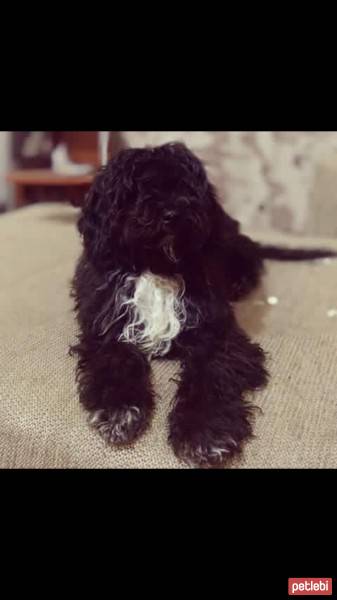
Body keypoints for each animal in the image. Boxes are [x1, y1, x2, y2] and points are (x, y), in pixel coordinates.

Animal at [70, 142, 334, 468]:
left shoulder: (219, 334)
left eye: (186, 185)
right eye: (135, 188)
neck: (157, 267)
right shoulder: (107, 328)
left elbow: (211, 376)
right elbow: (115, 362)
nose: (171, 212)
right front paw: (120, 411)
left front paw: (206, 434)